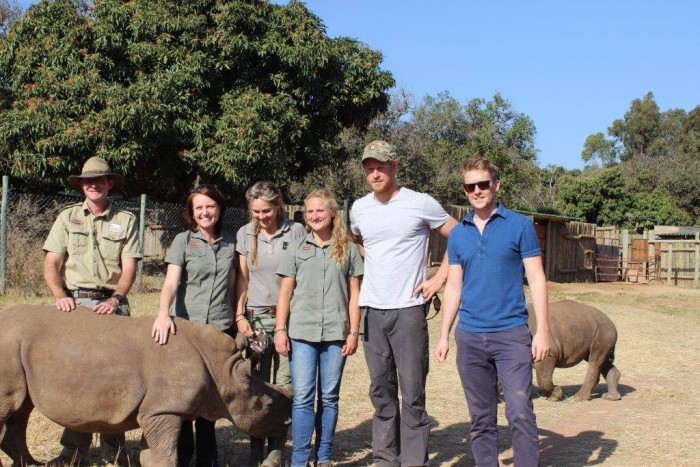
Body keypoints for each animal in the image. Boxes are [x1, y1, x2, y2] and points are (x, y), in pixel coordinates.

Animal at [0, 306, 292, 466]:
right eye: (267, 405)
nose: (287, 424)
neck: (225, 370)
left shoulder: (158, 408)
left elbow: (151, 454)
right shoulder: (164, 410)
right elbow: (165, 455)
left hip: (17, 348)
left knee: (20, 410)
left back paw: (31, 464)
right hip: (8, 344)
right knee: (11, 409)